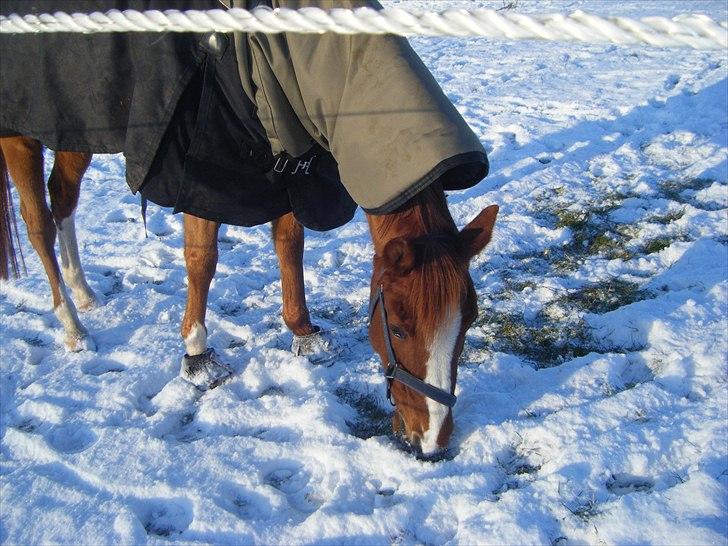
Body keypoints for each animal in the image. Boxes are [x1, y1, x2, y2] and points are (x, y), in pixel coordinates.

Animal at [0, 136, 498, 454]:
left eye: (467, 325)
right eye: (396, 329)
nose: (433, 441)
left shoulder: (291, 161)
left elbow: (289, 241)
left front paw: (304, 333)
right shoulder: (204, 164)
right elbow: (202, 259)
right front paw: (197, 354)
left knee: (63, 196)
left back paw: (82, 292)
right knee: (37, 219)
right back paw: (71, 323)